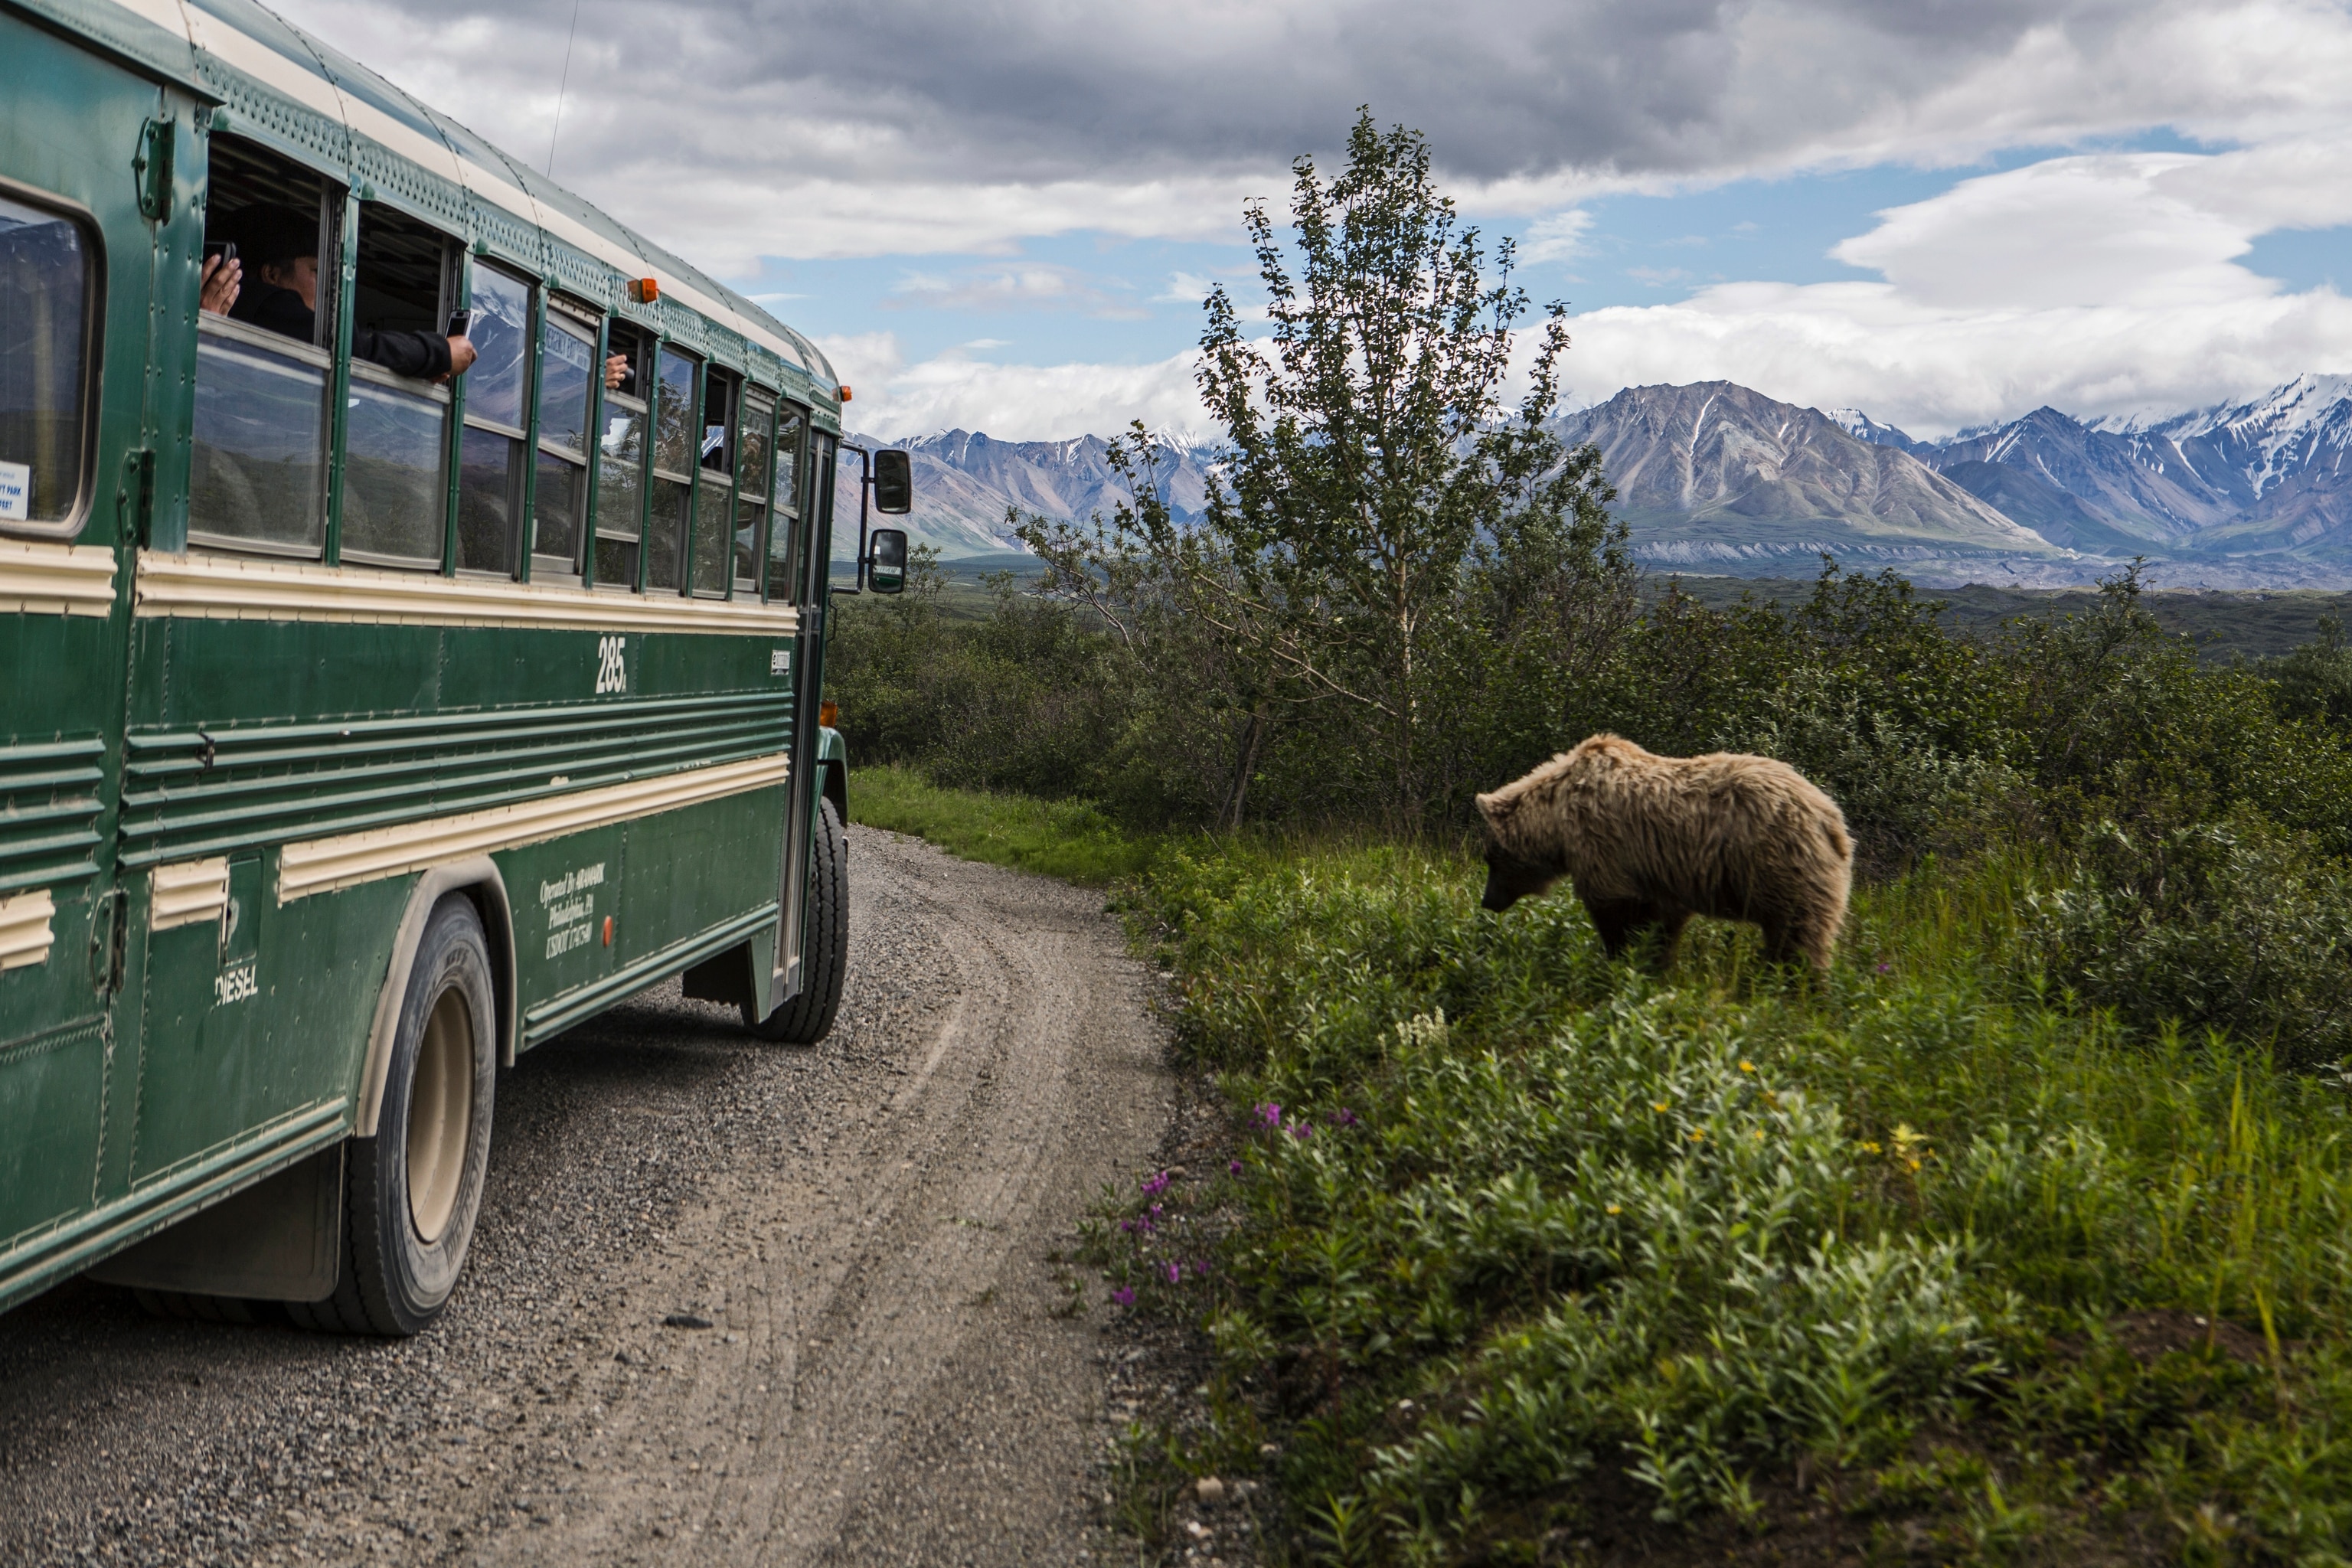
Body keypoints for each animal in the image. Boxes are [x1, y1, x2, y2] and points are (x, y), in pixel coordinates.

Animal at [1474, 734, 1853, 970]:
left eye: (1490, 858)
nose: (1487, 901)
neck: (1557, 820)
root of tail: (1831, 816)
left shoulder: (1604, 847)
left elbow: (1618, 913)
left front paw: (1621, 960)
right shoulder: (1661, 873)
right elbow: (1664, 923)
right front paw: (1657, 964)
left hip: (1780, 864)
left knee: (1798, 933)